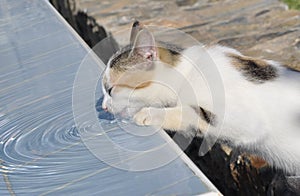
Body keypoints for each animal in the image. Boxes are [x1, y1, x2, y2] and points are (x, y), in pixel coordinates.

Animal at [101, 20, 300, 175]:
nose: (103, 107)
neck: (187, 73)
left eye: (110, 90)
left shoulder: (245, 121)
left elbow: (191, 113)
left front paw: (148, 114)